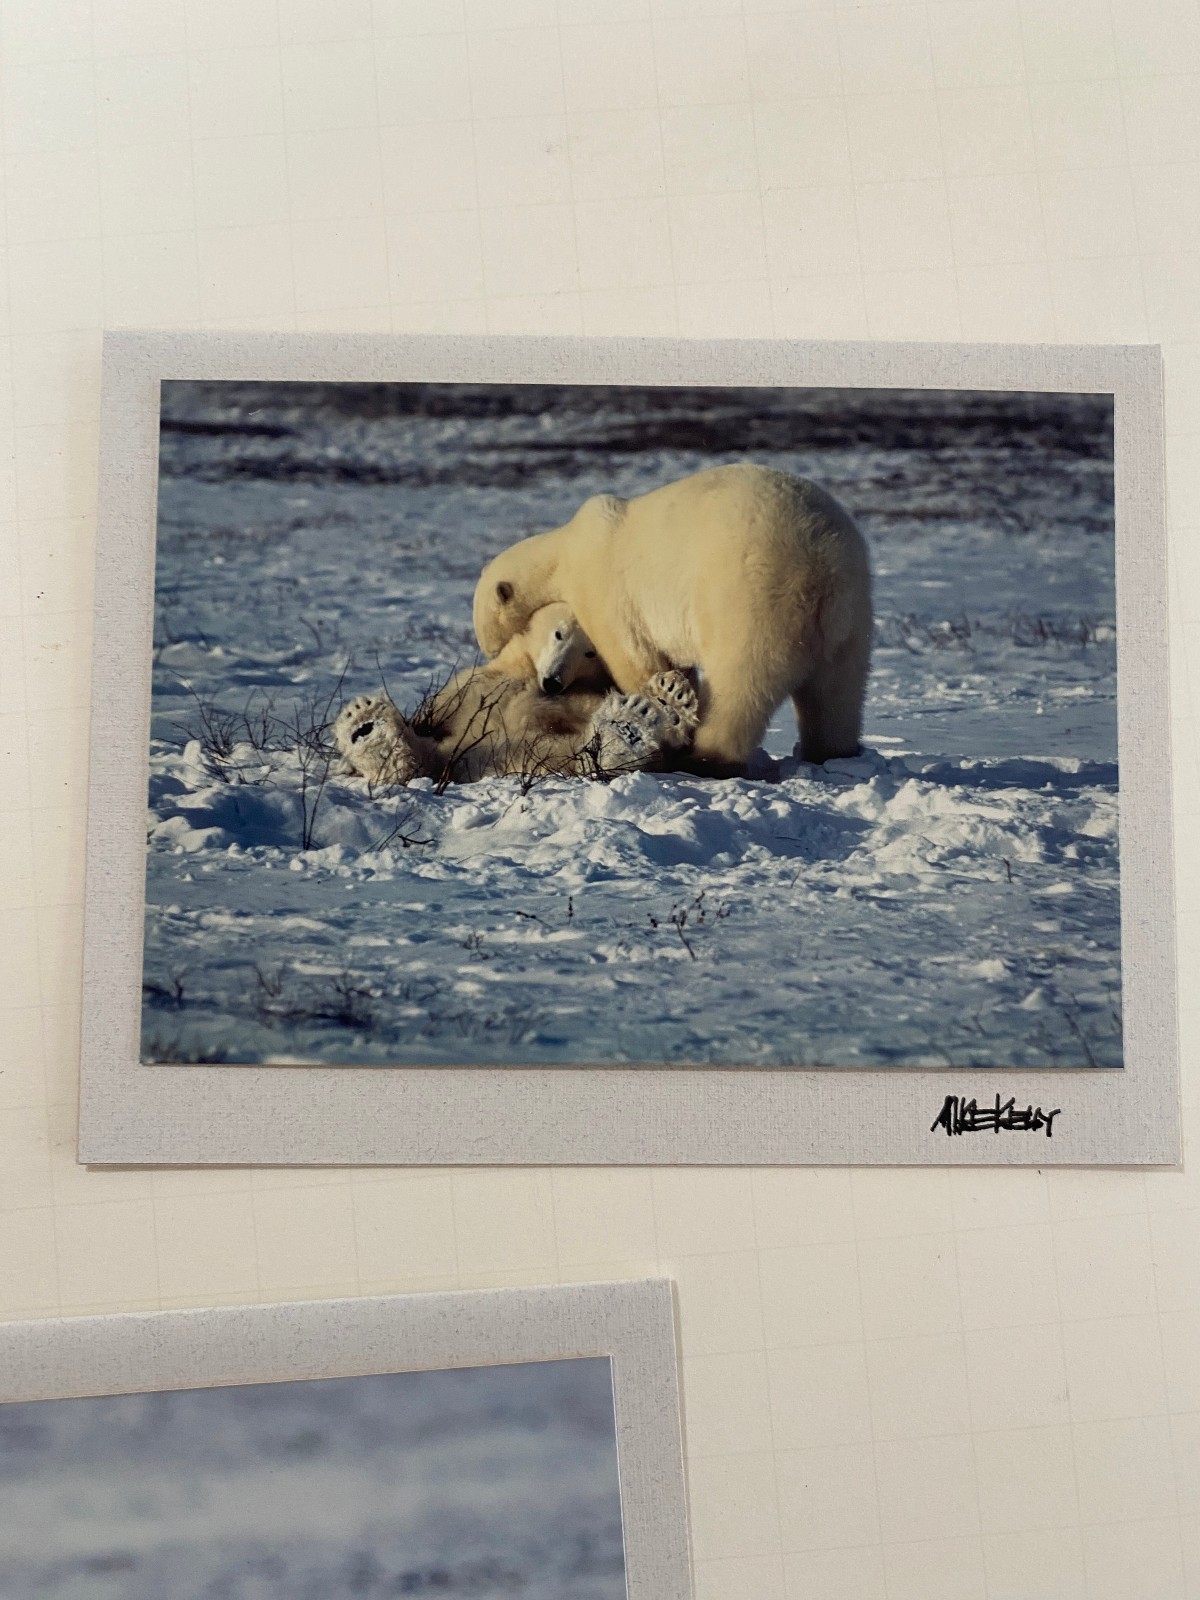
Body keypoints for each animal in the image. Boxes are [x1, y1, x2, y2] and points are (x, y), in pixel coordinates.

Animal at [335, 602, 699, 786]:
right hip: (462, 750)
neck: (524, 671)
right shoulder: (468, 687)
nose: (552, 682)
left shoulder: (583, 694)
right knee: (426, 756)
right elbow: (430, 717)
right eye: (559, 634)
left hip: (555, 752)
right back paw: (367, 731)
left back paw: (641, 720)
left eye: (590, 652)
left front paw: (666, 702)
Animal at [473, 463, 873, 775]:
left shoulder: (604, 583)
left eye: (488, 639)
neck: (566, 550)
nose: (492, 658)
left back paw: (706, 757)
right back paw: (831, 752)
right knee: (838, 692)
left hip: (751, 597)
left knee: (740, 685)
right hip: (853, 615)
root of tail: (821, 567)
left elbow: (631, 652)